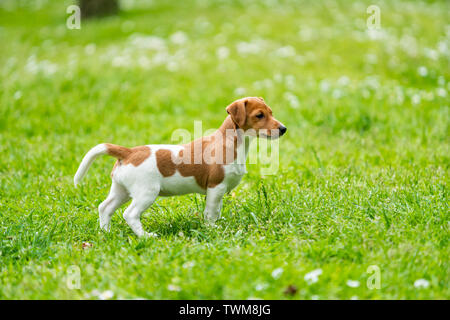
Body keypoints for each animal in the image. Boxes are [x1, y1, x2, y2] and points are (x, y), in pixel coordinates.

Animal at [72, 97, 286, 238]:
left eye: (271, 112)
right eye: (259, 115)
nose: (283, 129)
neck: (232, 142)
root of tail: (129, 152)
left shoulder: (218, 192)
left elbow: (216, 211)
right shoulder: (216, 187)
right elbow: (210, 213)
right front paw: (212, 229)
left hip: (121, 190)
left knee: (105, 207)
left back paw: (105, 232)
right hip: (146, 193)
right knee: (130, 214)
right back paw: (146, 236)